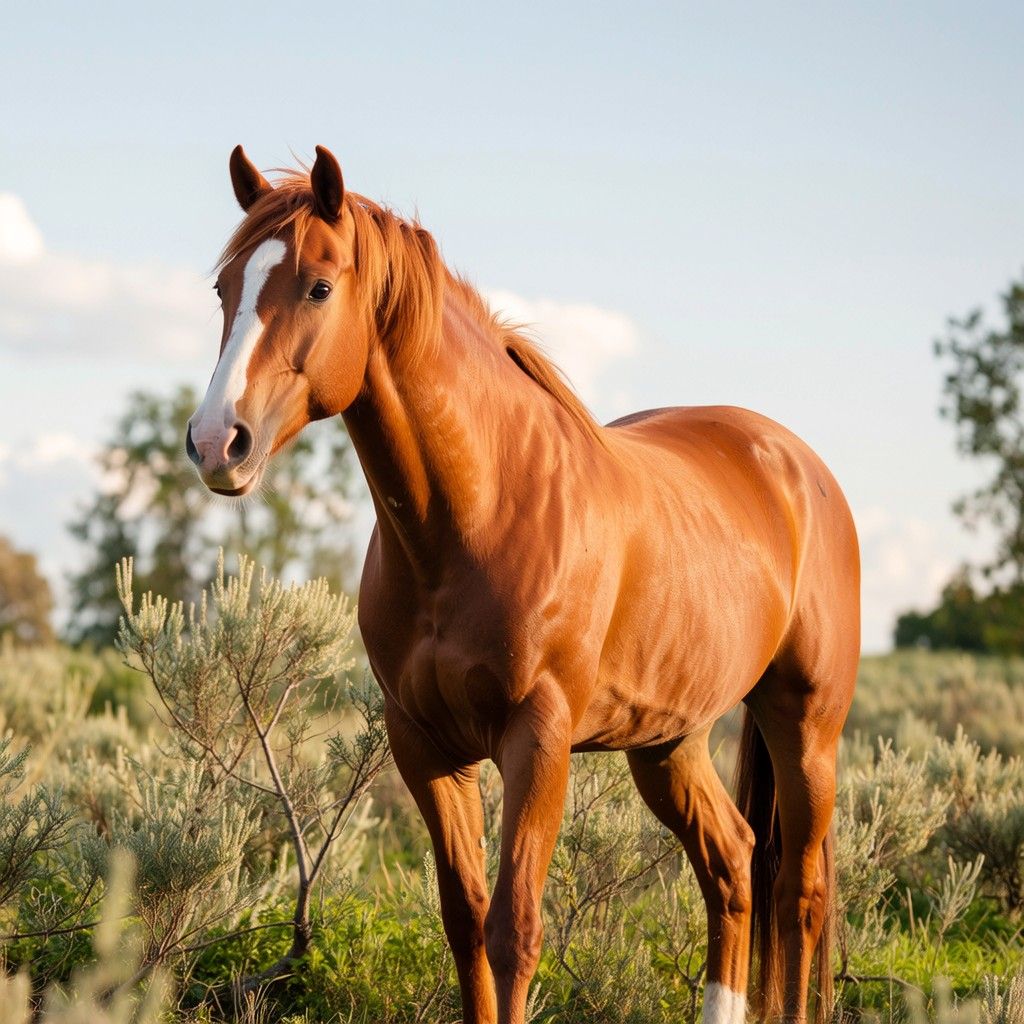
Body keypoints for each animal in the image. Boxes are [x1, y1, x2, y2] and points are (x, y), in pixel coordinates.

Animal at [187, 144, 860, 1024]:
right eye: (224, 288)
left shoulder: (537, 738)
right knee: (733, 864)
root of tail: (797, 465)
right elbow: (466, 920)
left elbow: (514, 929)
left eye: (318, 286)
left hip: (804, 726)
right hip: (668, 743)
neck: (479, 515)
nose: (215, 443)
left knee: (800, 895)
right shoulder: (425, 745)